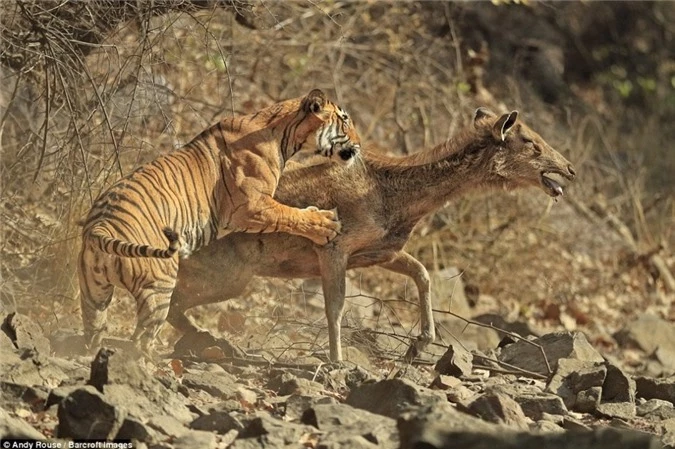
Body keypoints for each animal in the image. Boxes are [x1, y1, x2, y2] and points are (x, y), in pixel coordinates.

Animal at [78, 88, 362, 354]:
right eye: (345, 120)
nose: (360, 144)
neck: (285, 136)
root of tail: (99, 227)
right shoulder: (252, 206)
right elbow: (290, 215)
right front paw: (327, 224)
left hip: (94, 296)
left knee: (93, 335)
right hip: (159, 286)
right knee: (140, 342)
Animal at [168, 107, 576, 360]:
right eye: (532, 142)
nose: (570, 169)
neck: (398, 203)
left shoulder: (381, 252)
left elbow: (423, 274)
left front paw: (420, 343)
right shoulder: (334, 246)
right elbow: (336, 306)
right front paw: (337, 361)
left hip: (233, 278)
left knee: (175, 305)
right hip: (227, 274)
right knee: (172, 301)